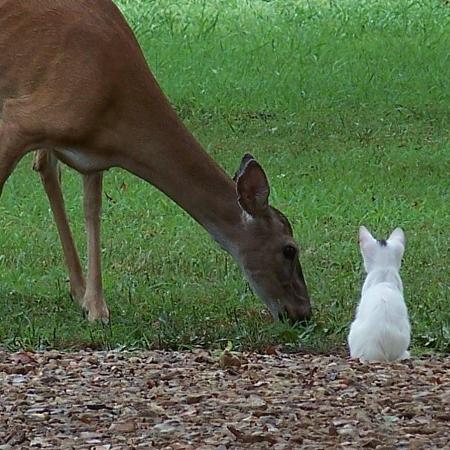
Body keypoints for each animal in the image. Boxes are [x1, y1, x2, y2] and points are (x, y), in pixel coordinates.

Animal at [0, 0, 310, 324]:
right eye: (289, 249)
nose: (303, 312)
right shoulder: (22, 119)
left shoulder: (93, 157)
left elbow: (92, 211)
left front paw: (95, 306)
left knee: (46, 168)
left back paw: (77, 289)